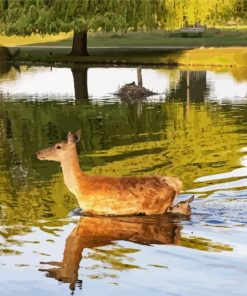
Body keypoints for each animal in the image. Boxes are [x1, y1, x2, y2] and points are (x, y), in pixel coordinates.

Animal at [36, 131, 194, 216]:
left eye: (58, 146)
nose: (38, 152)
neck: (79, 186)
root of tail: (174, 183)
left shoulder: (92, 209)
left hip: (156, 208)